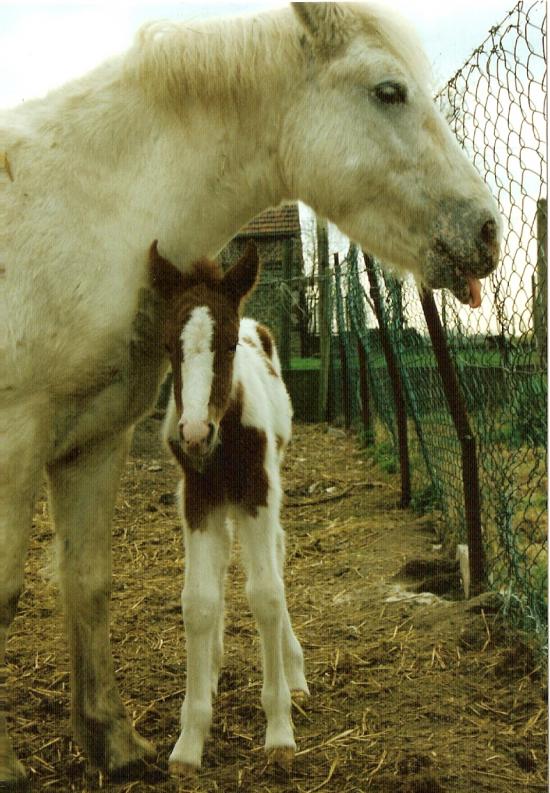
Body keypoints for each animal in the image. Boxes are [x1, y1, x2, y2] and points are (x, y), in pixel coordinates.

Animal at [149, 240, 308, 772]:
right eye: (169, 348)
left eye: (231, 346)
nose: (196, 434)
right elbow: (199, 600)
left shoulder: (258, 493)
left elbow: (266, 595)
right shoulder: (198, 502)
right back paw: (216, 665)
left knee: (276, 556)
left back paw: (295, 673)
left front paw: (279, 730)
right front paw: (190, 739)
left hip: (267, 490)